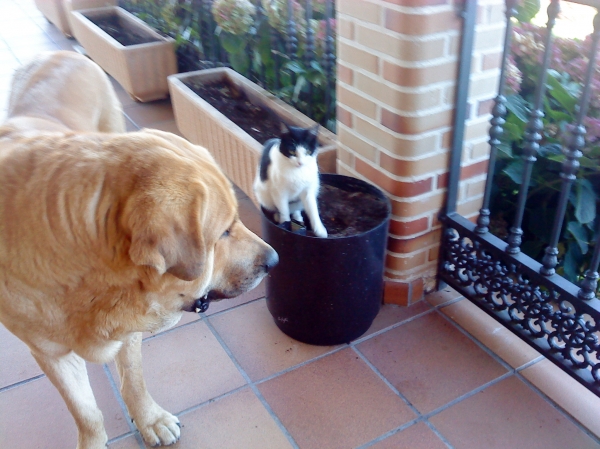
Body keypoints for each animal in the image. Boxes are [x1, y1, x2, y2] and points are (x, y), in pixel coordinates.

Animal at [0, 51, 278, 448]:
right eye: (223, 231)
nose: (274, 260)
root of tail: (63, 53)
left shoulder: (129, 328)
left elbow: (133, 378)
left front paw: (149, 419)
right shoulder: (50, 355)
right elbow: (86, 412)